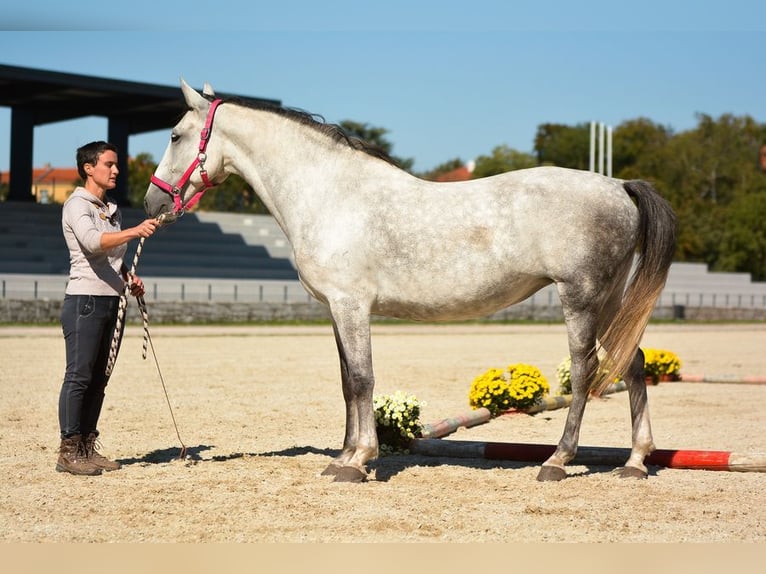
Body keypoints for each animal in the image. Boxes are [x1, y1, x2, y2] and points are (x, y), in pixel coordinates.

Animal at [144, 81, 680, 484]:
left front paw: (359, 461)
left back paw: (557, 461)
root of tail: (620, 186)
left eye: (174, 135)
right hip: (610, 302)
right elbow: (347, 382)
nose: (153, 202)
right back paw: (635, 462)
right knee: (633, 363)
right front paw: (343, 457)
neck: (329, 192)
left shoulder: (352, 305)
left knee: (586, 371)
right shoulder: (336, 309)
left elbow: (362, 378)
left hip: (582, 298)